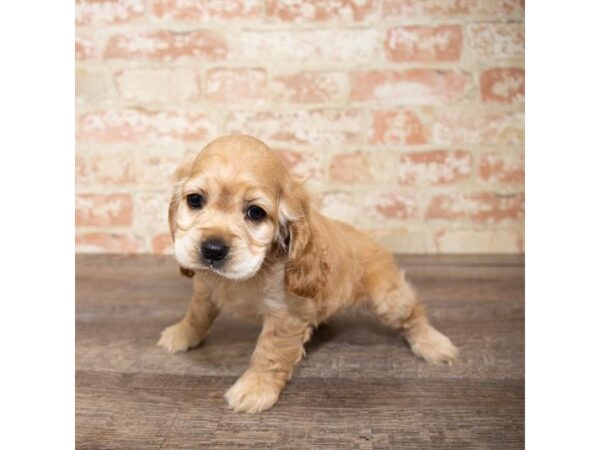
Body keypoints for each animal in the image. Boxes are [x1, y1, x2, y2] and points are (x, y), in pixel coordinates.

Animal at [157, 135, 458, 414]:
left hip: (389, 298)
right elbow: (197, 314)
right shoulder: (205, 290)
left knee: (413, 314)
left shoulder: (287, 315)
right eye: (195, 200)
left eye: (255, 212)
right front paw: (181, 334)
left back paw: (433, 343)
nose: (213, 249)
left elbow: (270, 352)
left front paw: (256, 388)